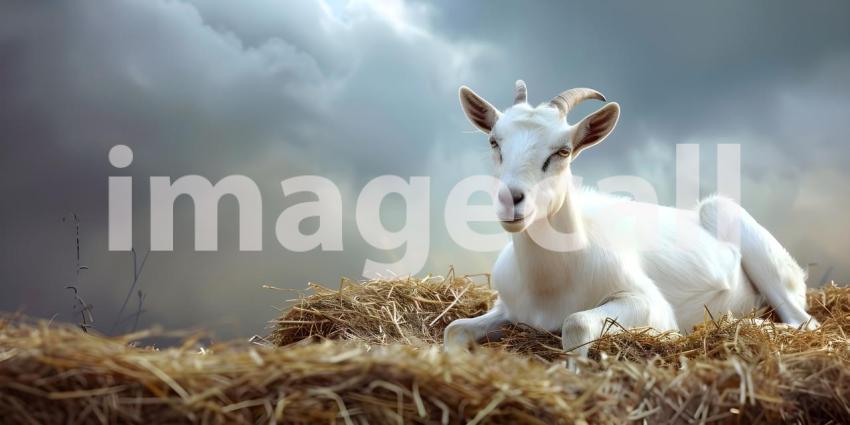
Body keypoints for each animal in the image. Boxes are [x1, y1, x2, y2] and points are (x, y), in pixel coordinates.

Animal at [444, 80, 818, 357]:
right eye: (494, 141)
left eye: (563, 151)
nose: (511, 200)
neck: (549, 282)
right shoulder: (507, 308)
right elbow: (453, 329)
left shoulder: (649, 304)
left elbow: (576, 323)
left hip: (747, 241)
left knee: (804, 322)